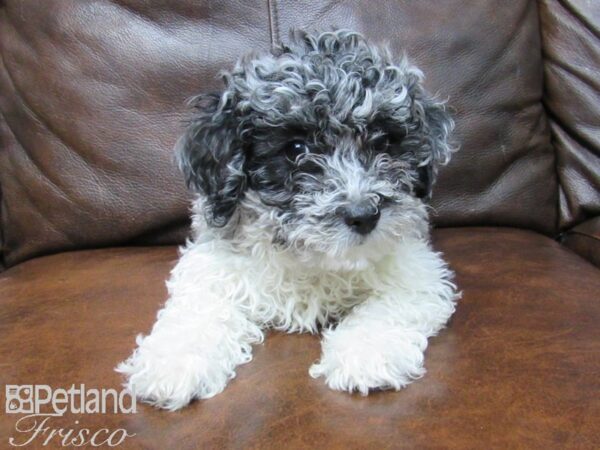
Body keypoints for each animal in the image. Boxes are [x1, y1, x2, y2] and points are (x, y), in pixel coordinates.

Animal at [117, 29, 460, 412]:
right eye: (295, 149)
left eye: (384, 142)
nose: (364, 216)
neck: (310, 260)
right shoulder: (213, 265)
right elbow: (198, 308)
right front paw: (172, 364)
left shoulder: (416, 270)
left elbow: (389, 306)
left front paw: (366, 354)